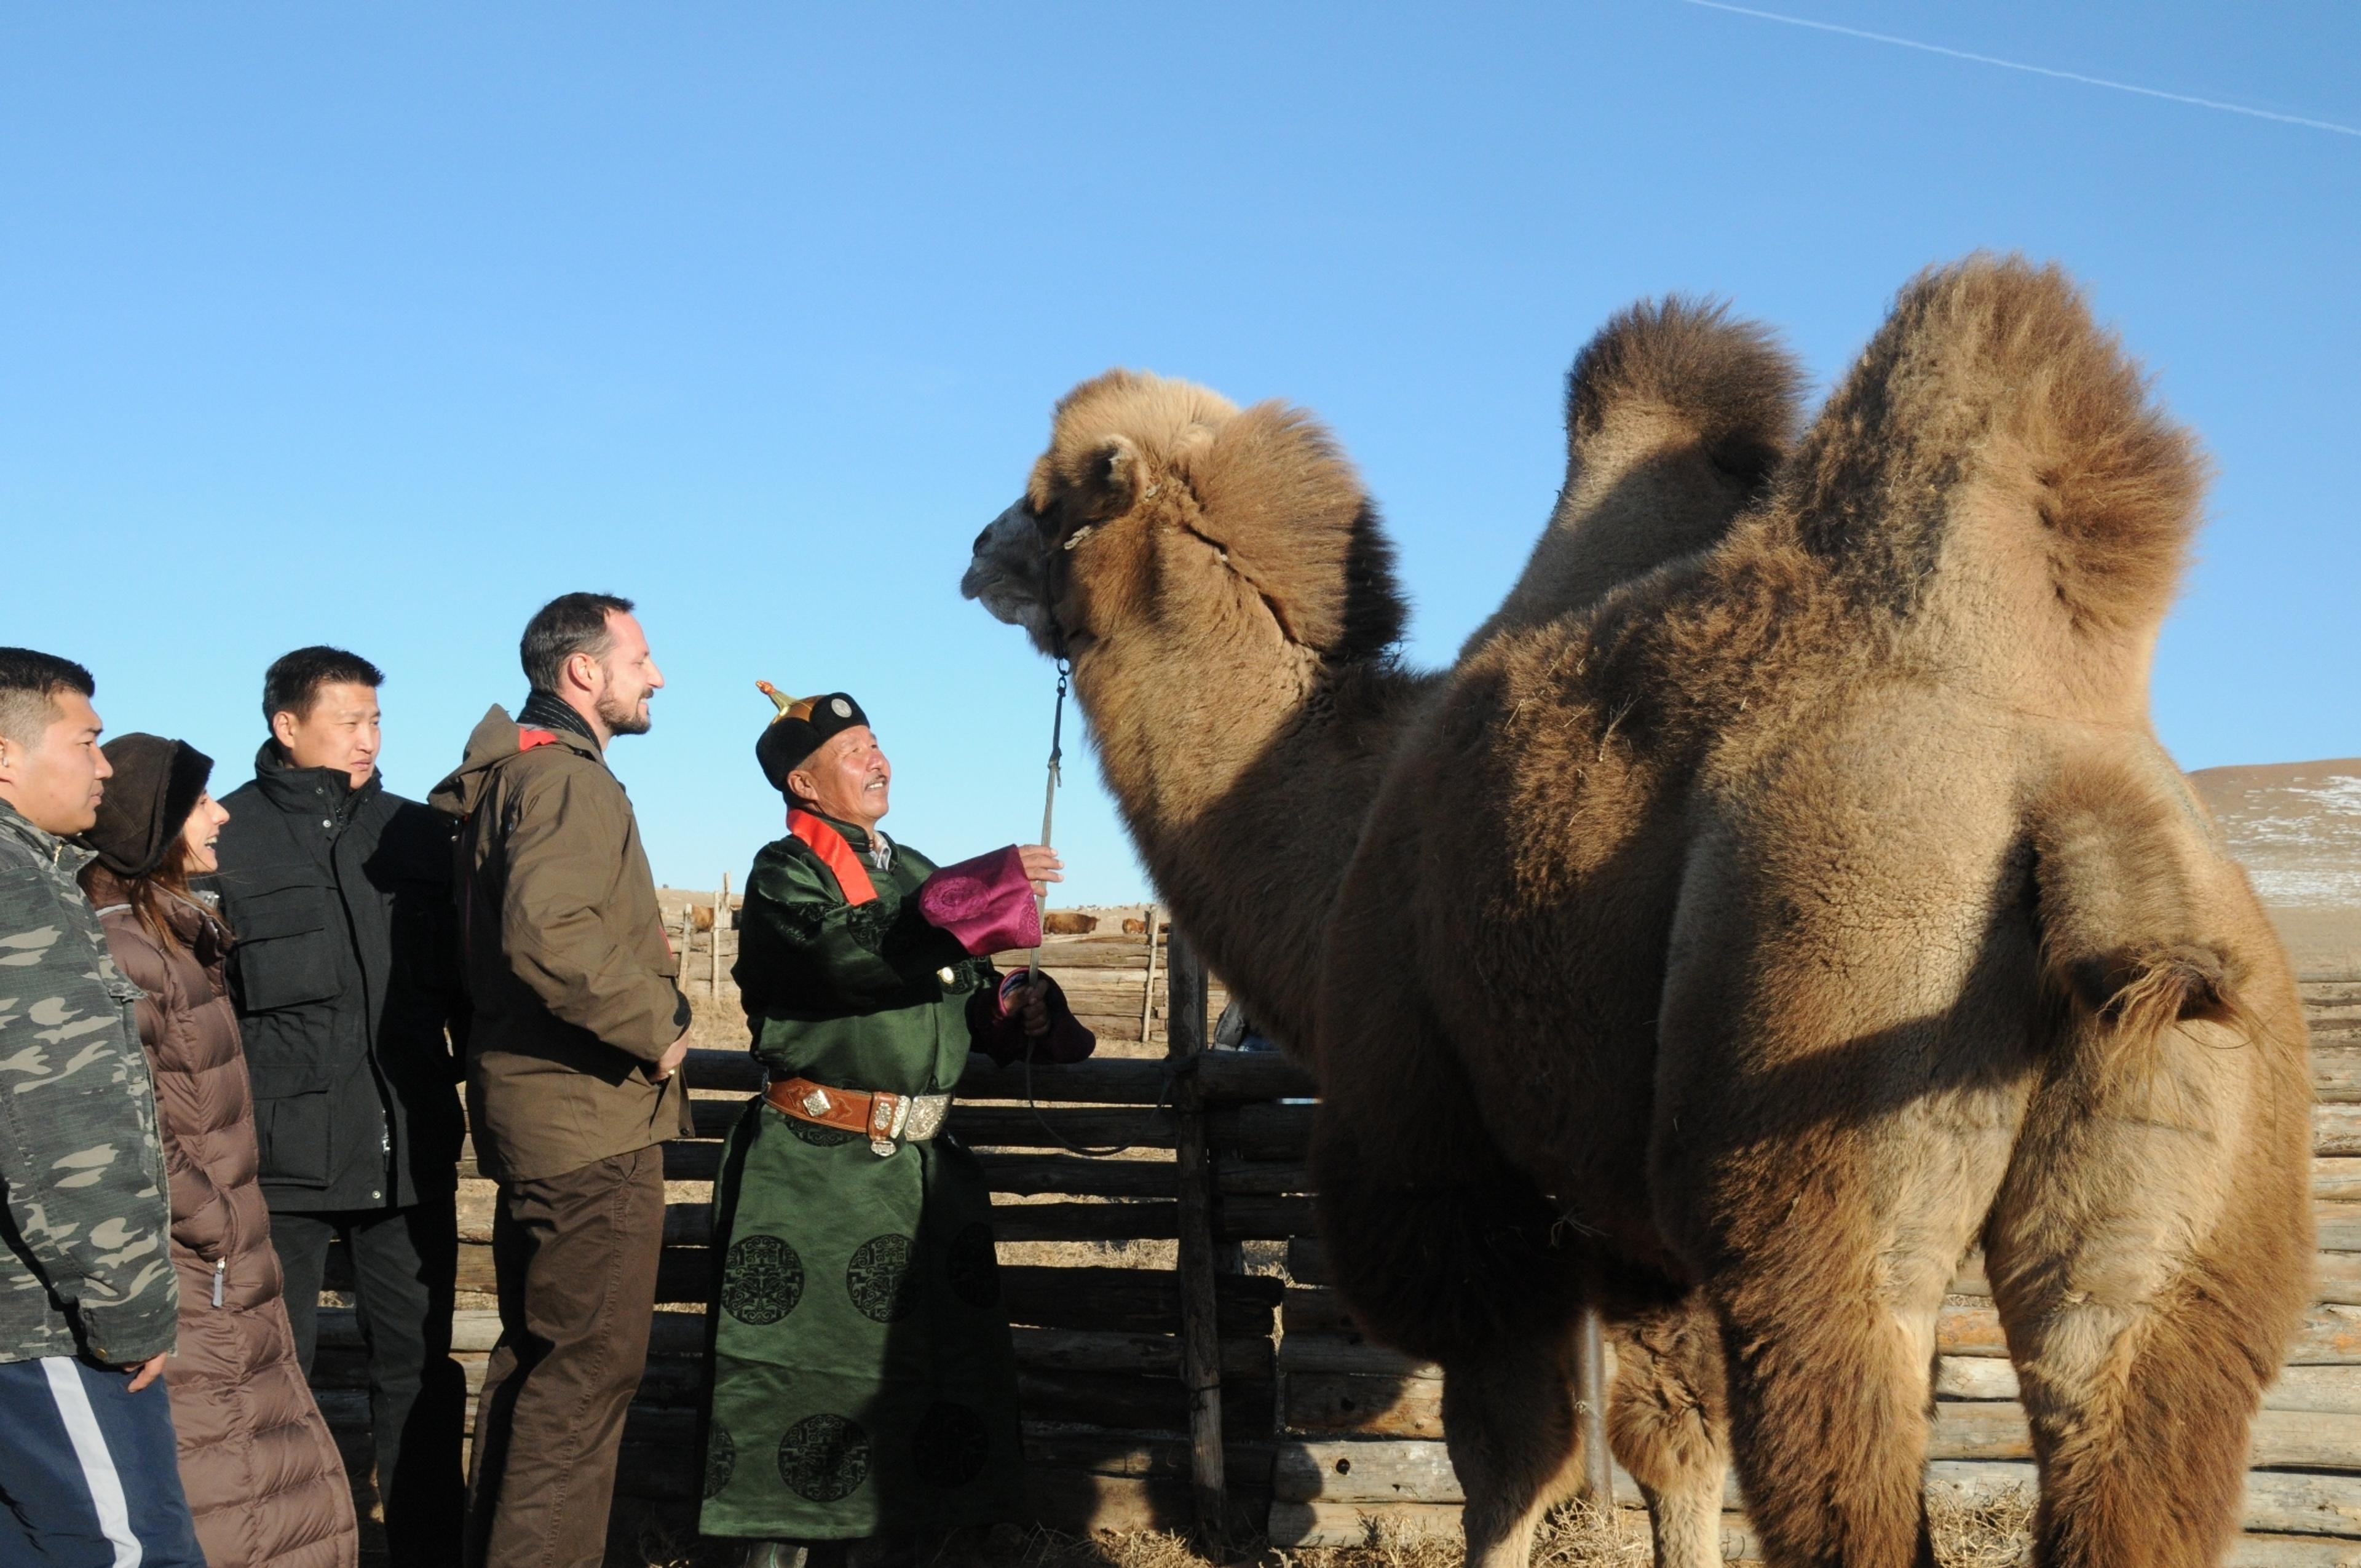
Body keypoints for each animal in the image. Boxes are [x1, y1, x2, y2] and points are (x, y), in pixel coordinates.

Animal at [962, 258, 2312, 1568]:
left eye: (1053, 497)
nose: (972, 554)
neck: (1345, 817)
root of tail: (2081, 814)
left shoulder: (1450, 1156)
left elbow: (1515, 1461)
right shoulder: (1638, 1232)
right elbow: (1677, 1448)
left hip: (1822, 1150)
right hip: (2184, 1193)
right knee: (2114, 1392)